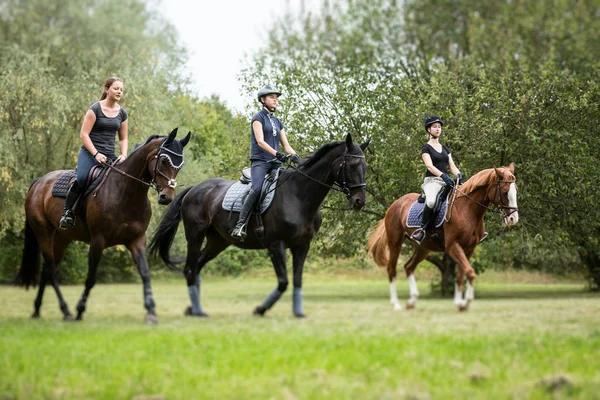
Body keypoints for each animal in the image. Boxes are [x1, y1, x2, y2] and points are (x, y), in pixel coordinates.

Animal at [17, 130, 190, 324]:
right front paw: (80, 310)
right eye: (163, 161)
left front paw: (151, 311)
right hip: (44, 233)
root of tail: (39, 182)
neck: (126, 192)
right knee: (52, 271)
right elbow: (91, 278)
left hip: (62, 238)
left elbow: (145, 273)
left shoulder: (136, 240)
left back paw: (37, 310)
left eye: (180, 165)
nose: (166, 197)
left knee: (47, 271)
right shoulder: (98, 241)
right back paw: (66, 311)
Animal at [148, 133, 368, 318]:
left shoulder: (302, 246)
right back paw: (197, 310)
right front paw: (260, 309)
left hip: (218, 242)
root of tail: (195, 189)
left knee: (197, 267)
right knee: (190, 269)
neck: (299, 196)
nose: (359, 201)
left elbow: (297, 280)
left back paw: (194, 308)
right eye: (351, 165)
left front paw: (298, 312)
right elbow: (283, 282)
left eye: (364, 166)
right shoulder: (275, 245)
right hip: (195, 236)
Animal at [368, 163, 516, 312]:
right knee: (391, 269)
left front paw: (459, 303)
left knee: (408, 266)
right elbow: (470, 272)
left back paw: (412, 301)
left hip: (423, 248)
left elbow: (461, 275)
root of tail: (396, 203)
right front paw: (466, 302)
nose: (513, 219)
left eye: (516, 190)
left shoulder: (469, 249)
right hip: (395, 243)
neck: (467, 209)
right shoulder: (452, 246)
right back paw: (396, 304)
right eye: (504, 191)